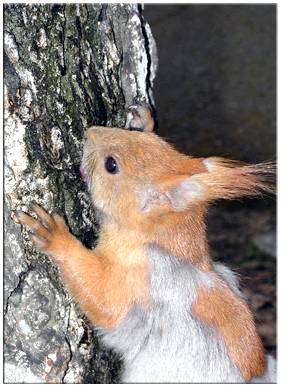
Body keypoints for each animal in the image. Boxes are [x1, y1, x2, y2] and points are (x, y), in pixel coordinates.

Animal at [18, 104, 276, 384]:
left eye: (111, 165)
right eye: (144, 138)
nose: (90, 131)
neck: (161, 240)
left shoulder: (145, 276)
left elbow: (105, 303)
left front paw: (54, 236)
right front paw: (142, 119)